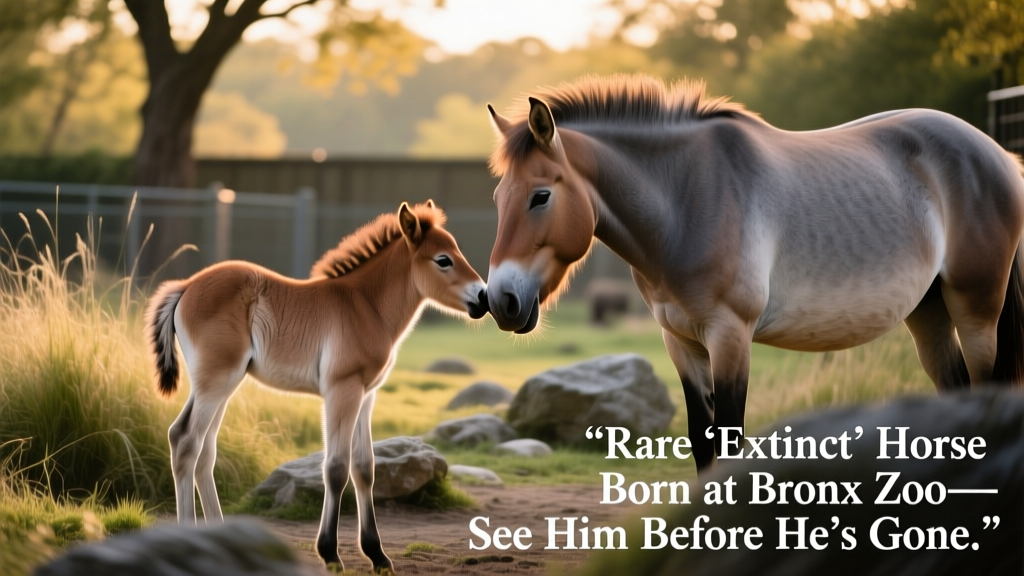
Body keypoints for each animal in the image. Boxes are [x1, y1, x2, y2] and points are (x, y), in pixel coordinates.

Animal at [144, 201, 488, 573]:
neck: (366, 306)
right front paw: (330, 553)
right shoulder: (342, 390)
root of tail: (186, 286)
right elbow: (336, 469)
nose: (484, 297)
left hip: (218, 385)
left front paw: (377, 555)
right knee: (187, 442)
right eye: (443, 259)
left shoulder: (366, 394)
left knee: (201, 448)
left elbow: (365, 468)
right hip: (216, 382)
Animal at [483, 74, 1024, 473]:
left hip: (978, 313)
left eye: (540, 196)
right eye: (498, 198)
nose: (502, 301)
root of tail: (998, 155)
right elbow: (703, 443)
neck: (687, 200)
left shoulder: (729, 336)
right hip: (929, 313)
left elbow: (729, 440)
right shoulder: (681, 342)